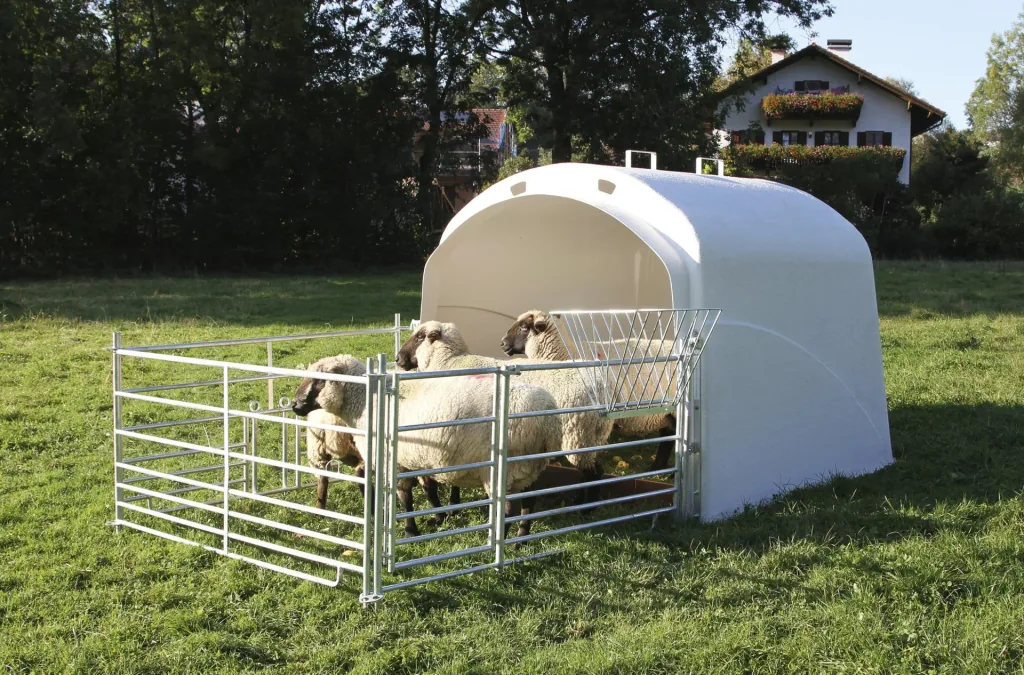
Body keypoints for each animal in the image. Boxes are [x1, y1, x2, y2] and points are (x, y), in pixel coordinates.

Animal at [291, 354, 560, 539]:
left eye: (318, 381)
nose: (295, 405)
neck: (366, 401)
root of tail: (547, 419)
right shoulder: (416, 458)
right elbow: (427, 490)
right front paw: (438, 518)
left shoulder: (394, 459)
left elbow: (404, 497)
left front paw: (410, 530)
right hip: (528, 464)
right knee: (529, 503)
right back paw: (520, 540)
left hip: (505, 468)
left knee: (508, 509)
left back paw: (499, 541)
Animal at [397, 321, 613, 507]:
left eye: (420, 337)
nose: (398, 359)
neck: (450, 363)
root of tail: (603, 387)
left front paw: (453, 503)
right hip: (592, 438)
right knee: (591, 473)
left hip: (577, 438)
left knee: (593, 473)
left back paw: (584, 509)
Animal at [500, 310, 682, 470]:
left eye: (524, 327)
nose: (502, 343)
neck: (566, 354)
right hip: (667, 413)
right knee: (669, 437)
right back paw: (657, 468)